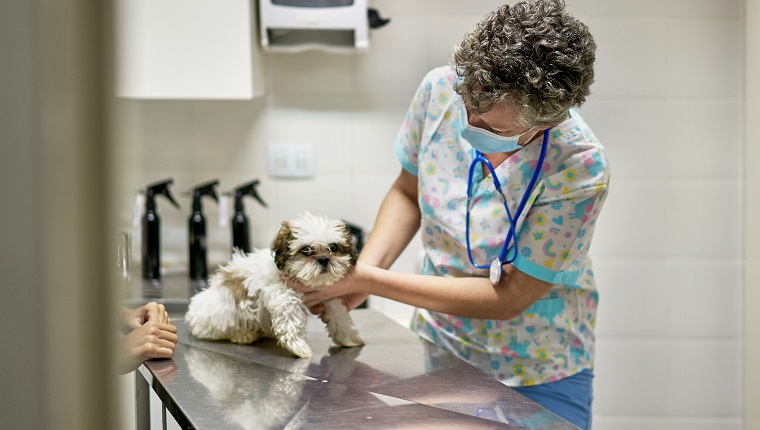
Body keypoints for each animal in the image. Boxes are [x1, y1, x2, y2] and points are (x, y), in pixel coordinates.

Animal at [184, 211, 362, 356]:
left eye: (333, 247)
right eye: (306, 250)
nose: (324, 259)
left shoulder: (326, 295)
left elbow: (338, 313)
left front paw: (348, 337)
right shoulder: (283, 295)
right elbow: (290, 319)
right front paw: (299, 347)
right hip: (224, 312)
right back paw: (243, 335)